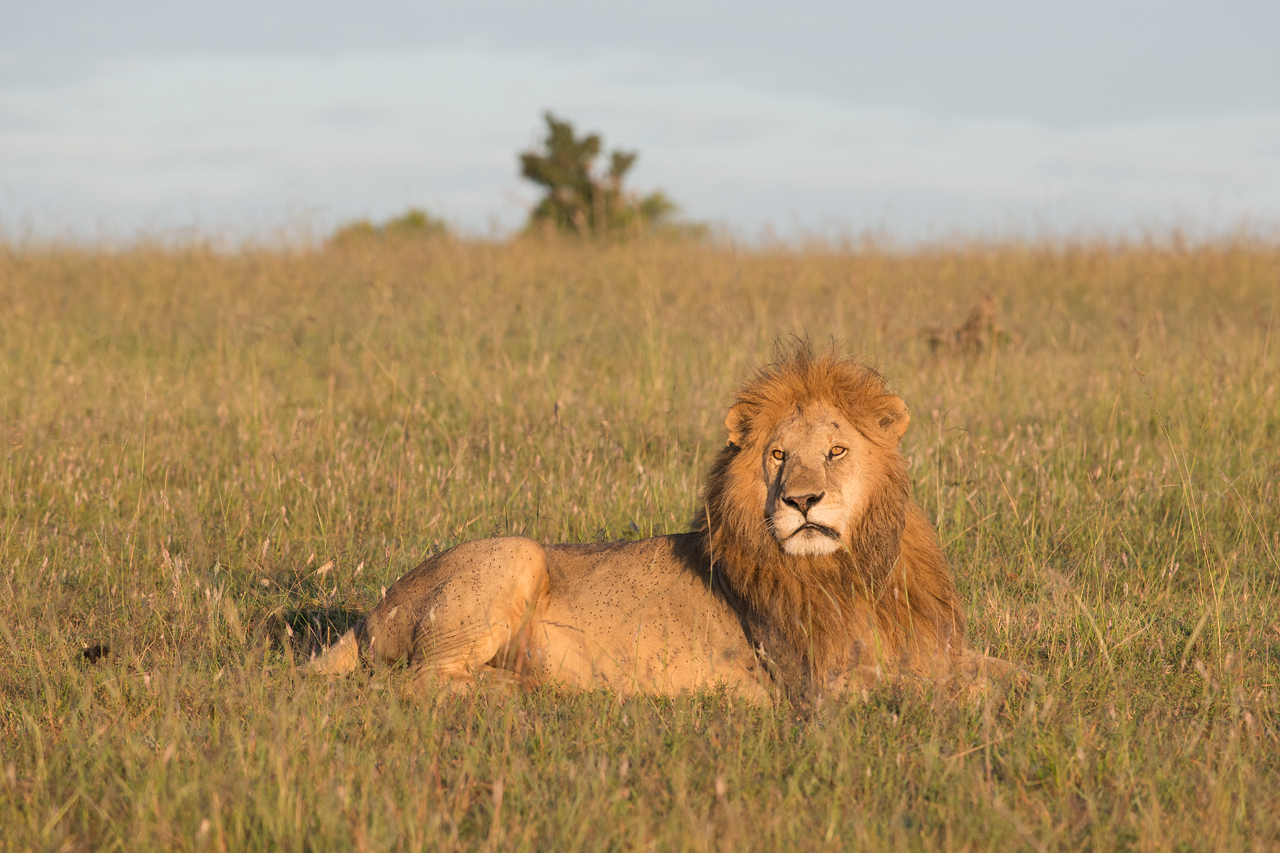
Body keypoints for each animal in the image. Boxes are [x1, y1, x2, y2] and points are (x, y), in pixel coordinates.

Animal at [312, 343, 1008, 701]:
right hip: (513, 553)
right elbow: (936, 689)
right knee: (418, 682)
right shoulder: (817, 682)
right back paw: (528, 692)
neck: (849, 569)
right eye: (778, 456)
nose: (802, 502)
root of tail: (371, 612)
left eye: (836, 451)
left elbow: (996, 668)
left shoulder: (928, 643)